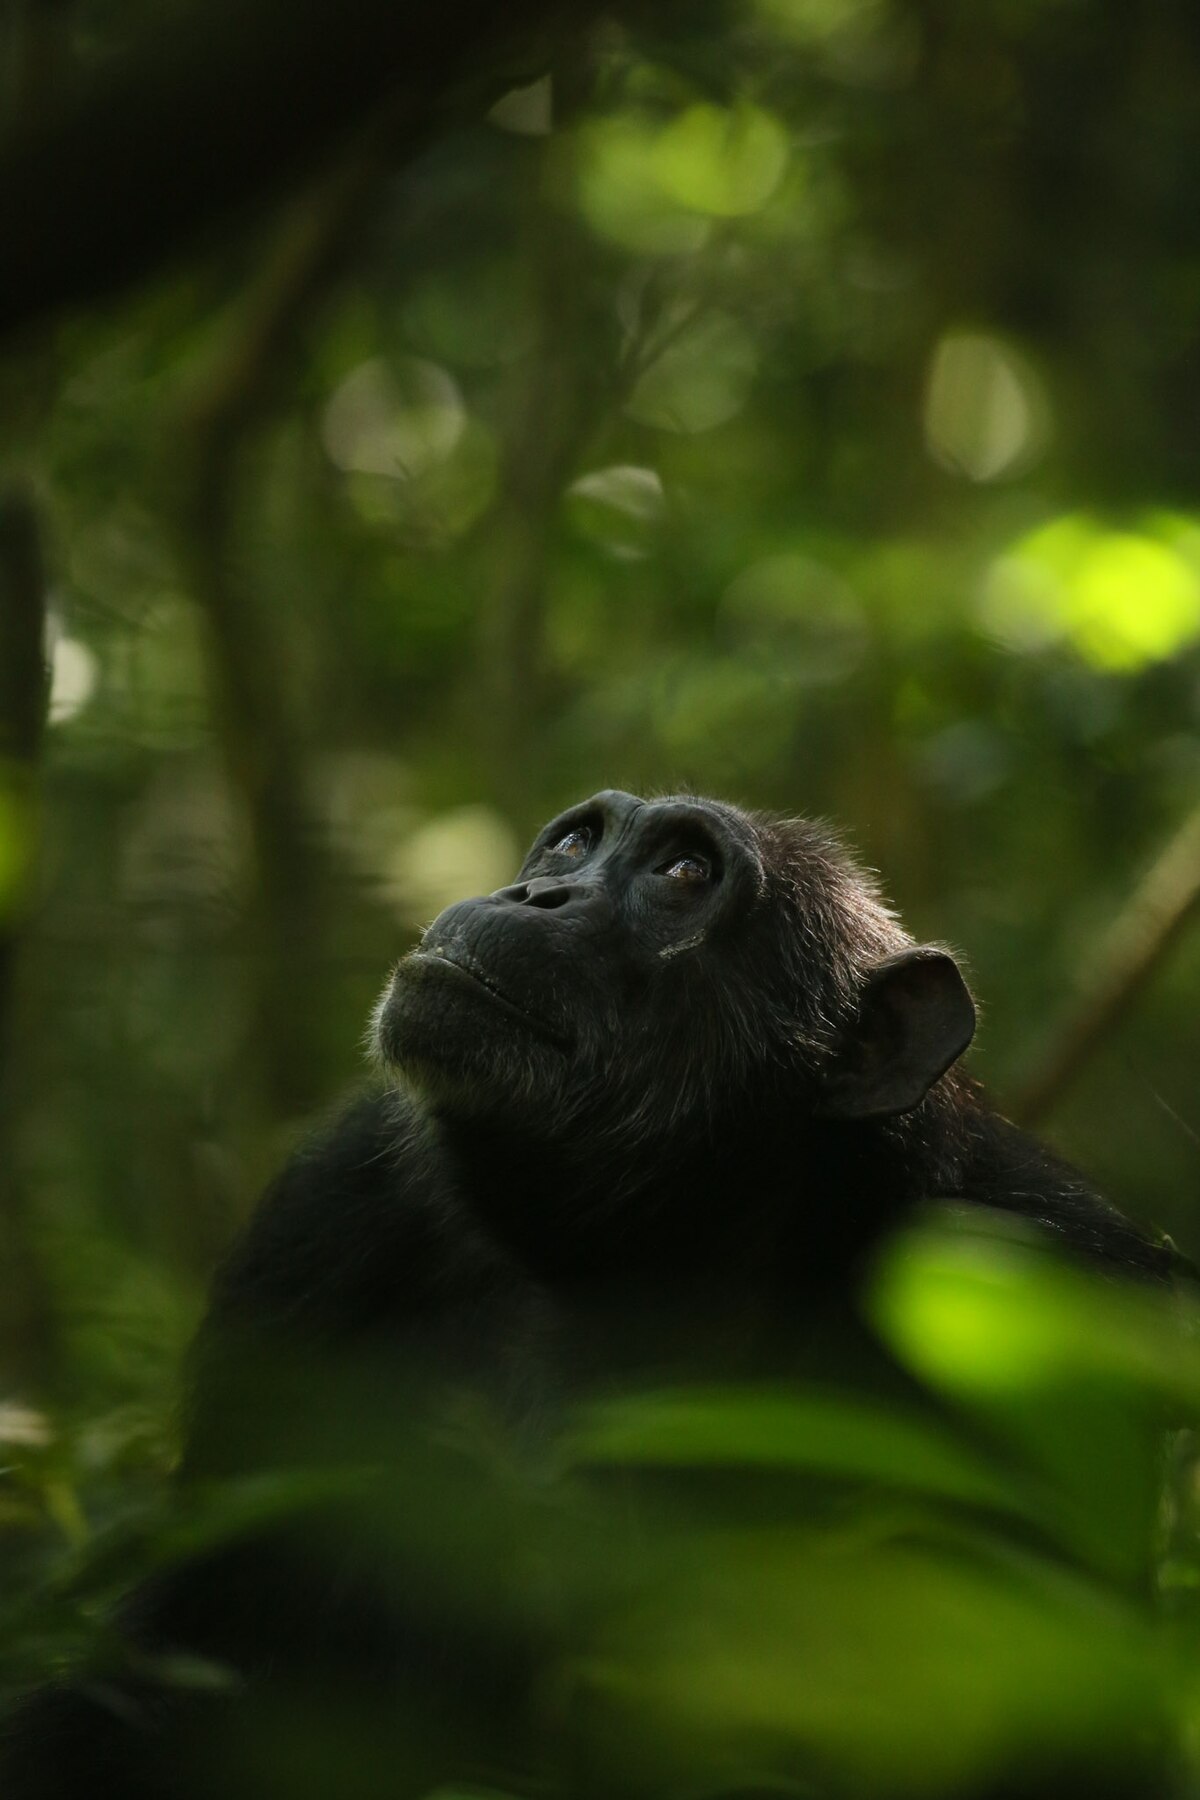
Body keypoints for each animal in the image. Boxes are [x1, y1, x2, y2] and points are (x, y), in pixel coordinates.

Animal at [2, 792, 1180, 1800]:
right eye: (576, 842)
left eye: (683, 871)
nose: (538, 893)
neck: (648, 1254)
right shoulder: (324, 1217)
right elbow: (177, 1658)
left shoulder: (1065, 1296)